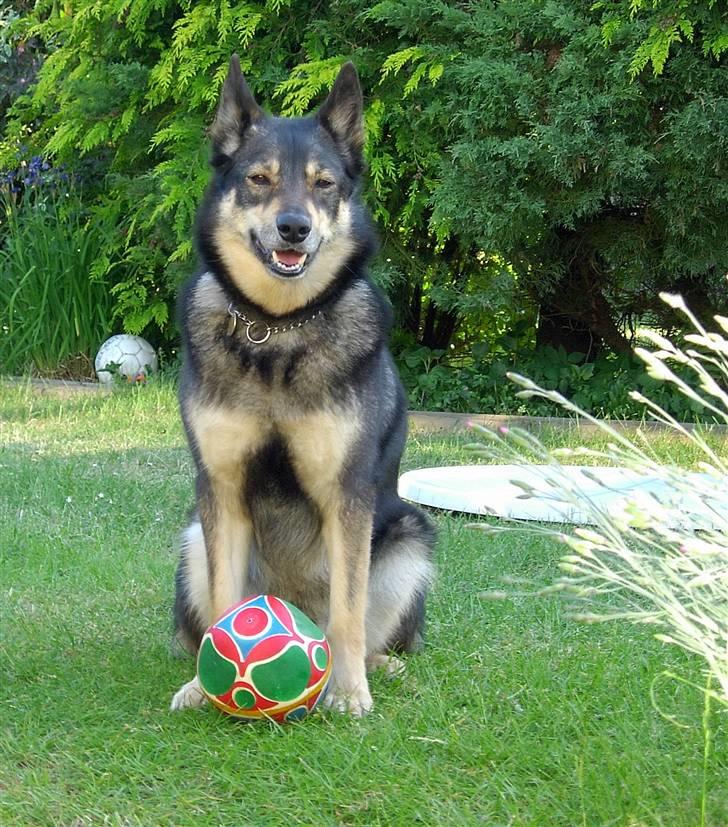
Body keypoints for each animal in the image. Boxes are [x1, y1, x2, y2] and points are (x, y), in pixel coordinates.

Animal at [168, 55, 436, 716]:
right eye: (259, 179)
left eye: (325, 185)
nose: (294, 228)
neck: (278, 328)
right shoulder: (221, 492)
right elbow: (225, 606)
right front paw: (205, 686)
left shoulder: (348, 495)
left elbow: (347, 614)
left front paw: (348, 692)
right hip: (191, 538)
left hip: (409, 538)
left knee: (366, 627)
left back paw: (380, 669)